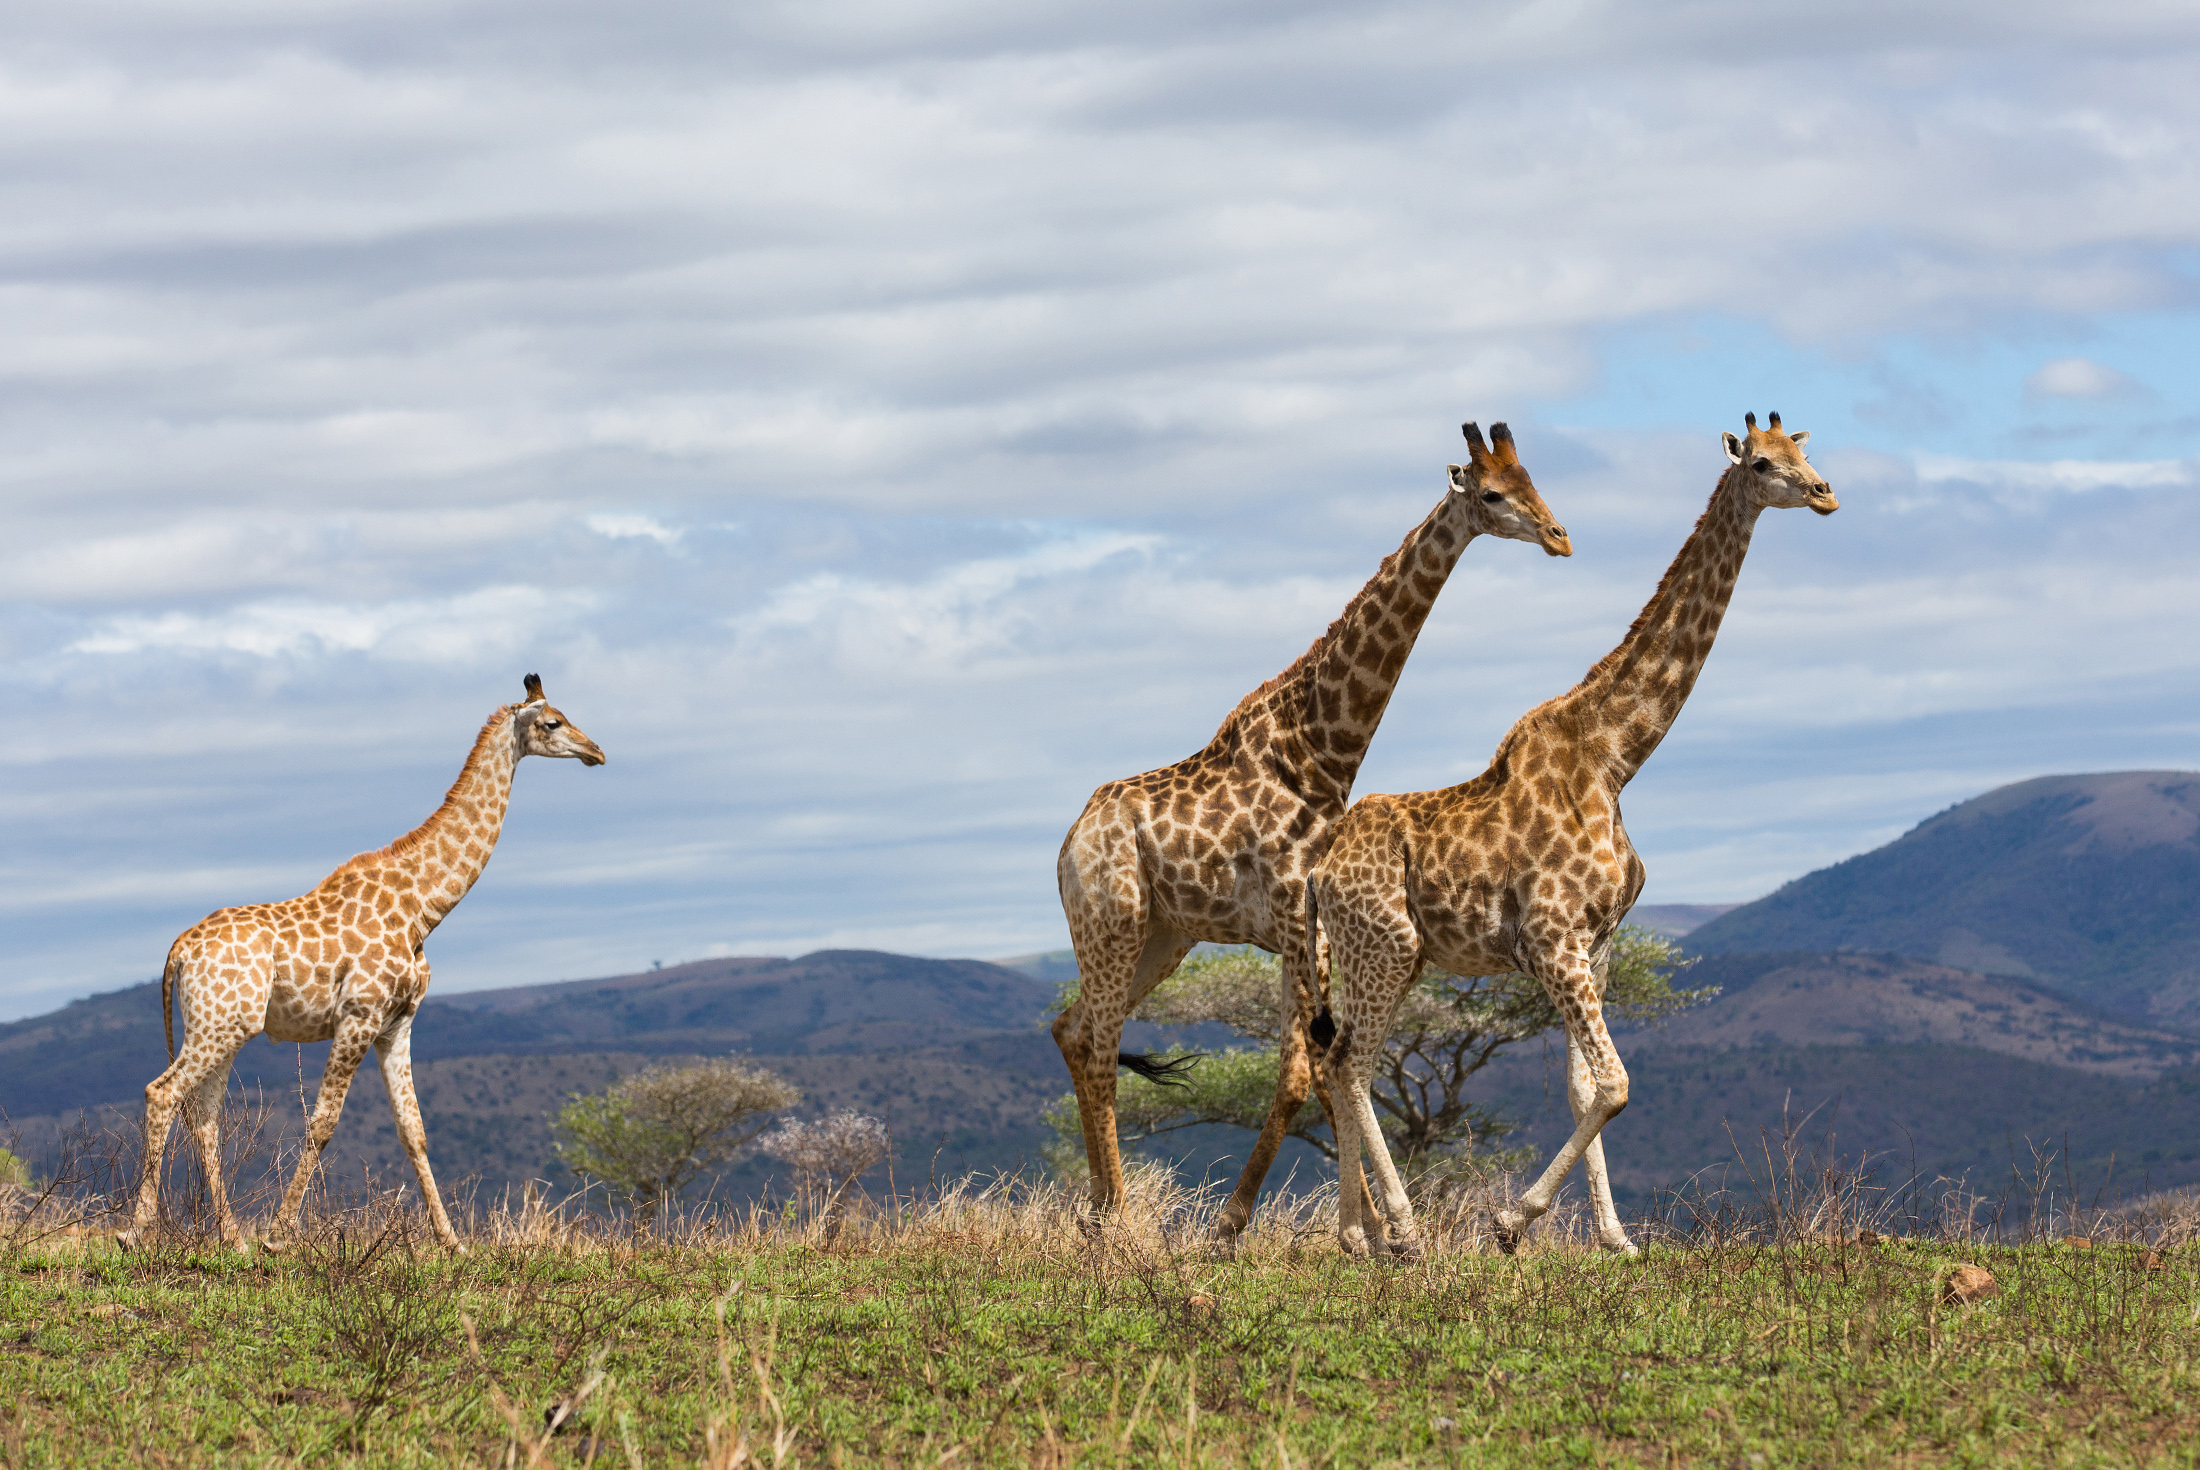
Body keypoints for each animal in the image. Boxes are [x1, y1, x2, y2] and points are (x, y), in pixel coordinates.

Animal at [117, 673, 607, 1249]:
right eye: (553, 722)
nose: (596, 752)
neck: (422, 907)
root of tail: (179, 950)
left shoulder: (397, 1023)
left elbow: (413, 1130)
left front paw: (453, 1243)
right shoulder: (358, 1015)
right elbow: (323, 1122)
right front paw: (279, 1235)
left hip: (223, 1026)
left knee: (204, 1116)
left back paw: (232, 1237)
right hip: (219, 1025)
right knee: (162, 1092)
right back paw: (136, 1232)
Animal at [1302, 407, 1839, 1258]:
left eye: (1803, 449)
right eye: (1760, 463)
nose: (1824, 494)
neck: (1616, 758)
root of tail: (1320, 871)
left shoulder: (1598, 942)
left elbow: (1588, 1087)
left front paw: (1616, 1239)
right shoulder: (1554, 939)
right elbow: (1616, 1083)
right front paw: (1510, 1220)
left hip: (1383, 956)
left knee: (1332, 1056)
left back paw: (1356, 1236)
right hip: (1385, 948)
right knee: (1354, 1063)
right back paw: (1405, 1232)